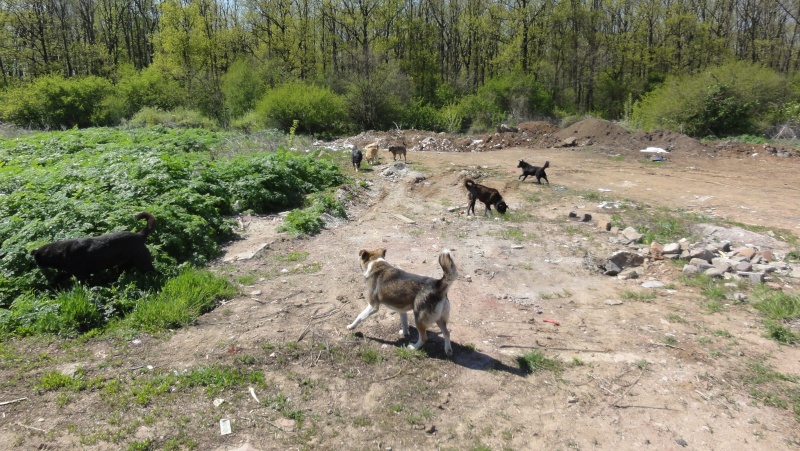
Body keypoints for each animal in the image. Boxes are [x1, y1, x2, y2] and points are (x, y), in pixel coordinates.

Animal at [31, 213, 159, 282]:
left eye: (37, 260)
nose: (36, 265)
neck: (60, 253)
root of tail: (140, 235)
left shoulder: (81, 274)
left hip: (143, 263)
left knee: (156, 273)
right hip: (123, 265)